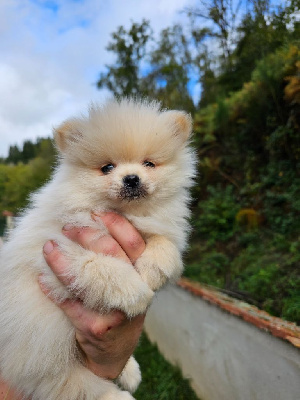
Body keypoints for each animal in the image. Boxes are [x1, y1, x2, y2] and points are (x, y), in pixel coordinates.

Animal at [0, 97, 197, 400]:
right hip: (37, 345)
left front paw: (151, 271)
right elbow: (99, 266)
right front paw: (135, 292)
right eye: (107, 168)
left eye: (149, 163)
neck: (123, 213)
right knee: (67, 381)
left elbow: (166, 246)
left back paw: (129, 372)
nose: (132, 178)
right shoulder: (56, 252)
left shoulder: (158, 226)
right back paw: (116, 395)